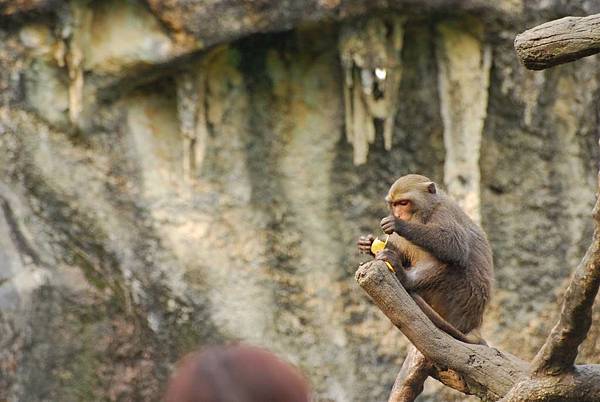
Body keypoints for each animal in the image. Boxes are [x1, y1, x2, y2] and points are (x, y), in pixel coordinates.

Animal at [356, 174, 492, 400]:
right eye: (394, 204)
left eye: (404, 203)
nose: (398, 214)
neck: (429, 209)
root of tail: (474, 322)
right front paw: (368, 244)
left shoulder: (443, 214)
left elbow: (453, 245)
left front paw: (399, 225)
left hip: (460, 297)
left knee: (450, 262)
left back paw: (403, 277)